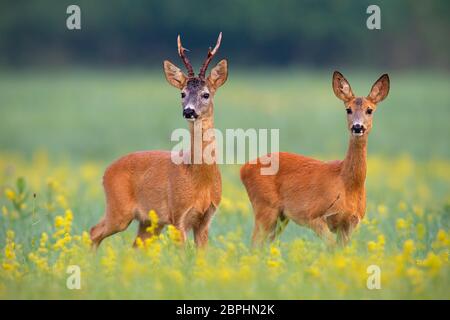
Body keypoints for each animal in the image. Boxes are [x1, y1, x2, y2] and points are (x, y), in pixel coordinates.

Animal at [89, 33, 227, 248]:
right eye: (182, 93)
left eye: (206, 94)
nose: (188, 111)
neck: (200, 179)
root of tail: (106, 171)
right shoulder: (177, 214)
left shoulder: (206, 219)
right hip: (119, 210)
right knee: (94, 232)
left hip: (148, 221)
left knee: (134, 245)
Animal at [241, 72, 388, 246]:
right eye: (348, 109)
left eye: (369, 110)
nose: (357, 127)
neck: (347, 184)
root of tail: (243, 168)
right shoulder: (313, 215)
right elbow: (331, 247)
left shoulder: (350, 224)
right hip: (264, 206)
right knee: (254, 243)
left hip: (281, 217)